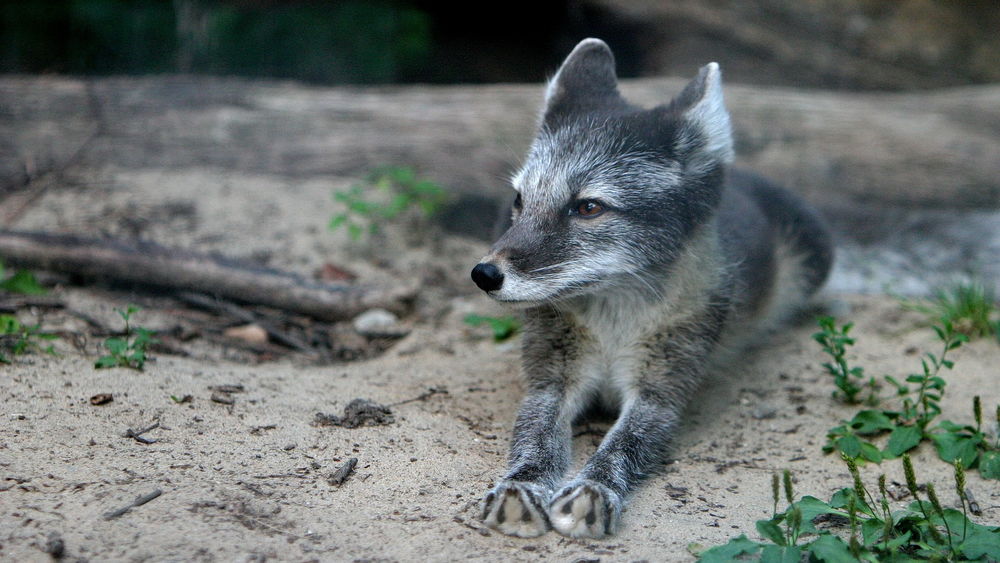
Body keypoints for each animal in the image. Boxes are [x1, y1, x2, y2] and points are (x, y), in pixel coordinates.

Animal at [472, 37, 832, 540]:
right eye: (520, 201)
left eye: (588, 207)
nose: (484, 274)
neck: (614, 324)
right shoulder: (549, 382)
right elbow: (534, 437)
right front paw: (521, 486)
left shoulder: (662, 394)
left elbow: (624, 443)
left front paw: (594, 489)